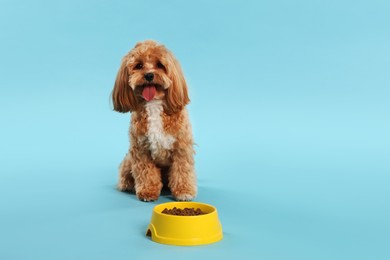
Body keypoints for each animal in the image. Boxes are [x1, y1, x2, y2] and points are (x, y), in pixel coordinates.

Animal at [111, 40, 197, 202]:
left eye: (159, 65)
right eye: (139, 65)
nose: (149, 75)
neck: (154, 104)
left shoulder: (181, 147)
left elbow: (182, 169)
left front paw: (184, 191)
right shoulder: (141, 150)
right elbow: (146, 172)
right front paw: (148, 191)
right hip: (128, 161)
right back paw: (128, 185)